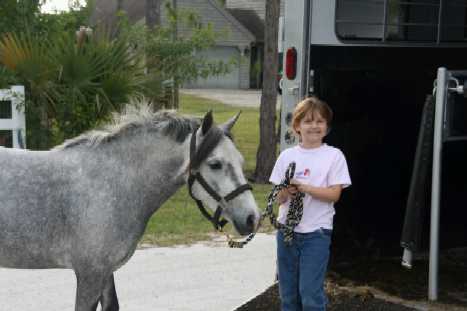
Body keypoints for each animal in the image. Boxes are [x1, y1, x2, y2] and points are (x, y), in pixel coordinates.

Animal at [0, 106, 260, 310]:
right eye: (215, 164)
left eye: (240, 161)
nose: (252, 218)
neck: (113, 181)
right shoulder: (89, 274)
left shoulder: (105, 272)